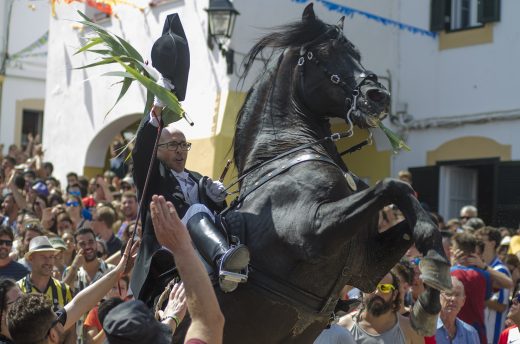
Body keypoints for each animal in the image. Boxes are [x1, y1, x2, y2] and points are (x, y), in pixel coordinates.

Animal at [176, 3, 450, 344]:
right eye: (324, 52)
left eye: (356, 53)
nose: (378, 97)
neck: (285, 151)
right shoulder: (313, 232)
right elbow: (392, 186)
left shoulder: (367, 265)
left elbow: (411, 212)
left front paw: (431, 289)